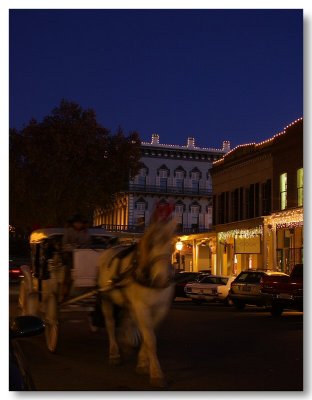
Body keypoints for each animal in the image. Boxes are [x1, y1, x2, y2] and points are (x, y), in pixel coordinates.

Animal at [98, 216, 176, 388]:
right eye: (151, 243)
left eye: (172, 244)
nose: (162, 278)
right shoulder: (141, 307)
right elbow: (150, 339)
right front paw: (156, 373)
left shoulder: (160, 308)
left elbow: (148, 336)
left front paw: (143, 363)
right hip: (106, 298)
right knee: (110, 323)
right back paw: (114, 353)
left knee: (127, 320)